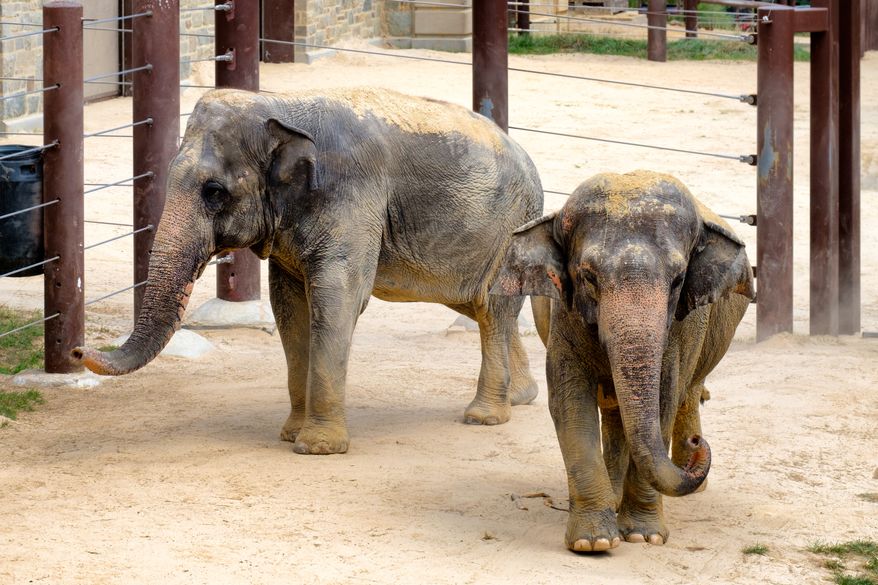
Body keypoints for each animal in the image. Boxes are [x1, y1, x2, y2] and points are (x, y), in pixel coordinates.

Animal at [71, 87, 547, 454]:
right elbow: (289, 309)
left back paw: (484, 417)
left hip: (508, 228)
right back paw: (520, 398)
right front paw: (289, 435)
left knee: (492, 309)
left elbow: (338, 300)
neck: (280, 105)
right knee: (478, 306)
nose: (77, 351)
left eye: (214, 192)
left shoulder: (353, 197)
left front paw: (317, 448)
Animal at [491, 170, 754, 552]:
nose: (697, 447)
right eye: (588, 276)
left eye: (678, 280)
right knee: (615, 410)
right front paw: (594, 543)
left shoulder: (682, 328)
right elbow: (569, 401)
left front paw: (645, 536)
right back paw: (617, 497)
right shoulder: (564, 315)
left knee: (686, 395)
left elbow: (664, 400)